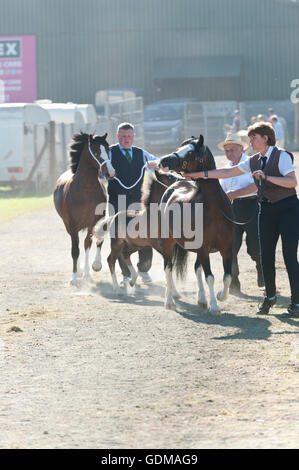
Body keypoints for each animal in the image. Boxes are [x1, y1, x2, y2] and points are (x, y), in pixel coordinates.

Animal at [53, 132, 115, 286]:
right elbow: (75, 250)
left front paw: (89, 272)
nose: (111, 173)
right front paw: (74, 278)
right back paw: (79, 272)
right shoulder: (72, 223)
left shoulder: (94, 221)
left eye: (108, 149)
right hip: (68, 225)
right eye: (96, 151)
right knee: (75, 244)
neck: (85, 190)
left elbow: (88, 243)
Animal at [158, 134, 236, 310]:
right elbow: (210, 277)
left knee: (195, 269)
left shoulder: (226, 248)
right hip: (168, 242)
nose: (163, 161)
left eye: (190, 152)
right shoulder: (204, 249)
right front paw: (214, 306)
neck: (215, 211)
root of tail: (175, 185)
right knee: (168, 267)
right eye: (179, 148)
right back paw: (169, 301)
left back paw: (201, 299)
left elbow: (227, 277)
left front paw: (220, 296)